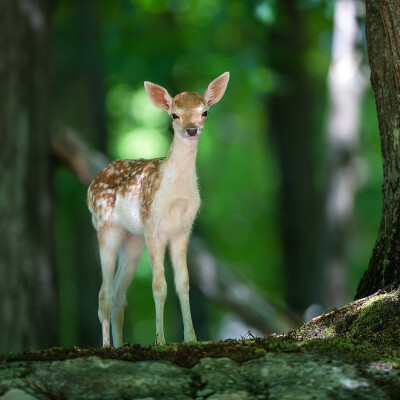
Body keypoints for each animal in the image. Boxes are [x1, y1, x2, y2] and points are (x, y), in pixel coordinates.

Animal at [88, 72, 230, 346]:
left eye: (204, 112)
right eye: (174, 114)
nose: (192, 129)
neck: (175, 195)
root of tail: (92, 184)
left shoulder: (183, 230)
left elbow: (183, 283)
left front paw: (191, 338)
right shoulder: (153, 228)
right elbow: (159, 286)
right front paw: (160, 341)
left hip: (133, 239)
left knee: (119, 296)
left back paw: (120, 345)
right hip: (106, 227)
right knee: (104, 293)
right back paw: (107, 346)